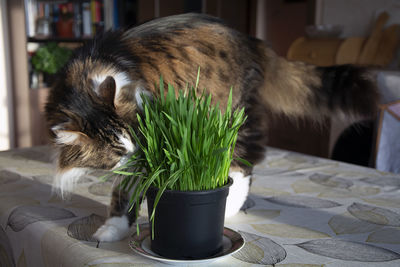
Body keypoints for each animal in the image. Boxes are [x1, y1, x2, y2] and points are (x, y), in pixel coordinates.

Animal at [45, 12, 380, 243]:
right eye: (116, 153)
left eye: (136, 139)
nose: (135, 155)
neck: (84, 77)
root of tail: (251, 40)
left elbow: (125, 193)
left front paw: (113, 229)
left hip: (234, 114)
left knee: (245, 162)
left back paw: (231, 205)